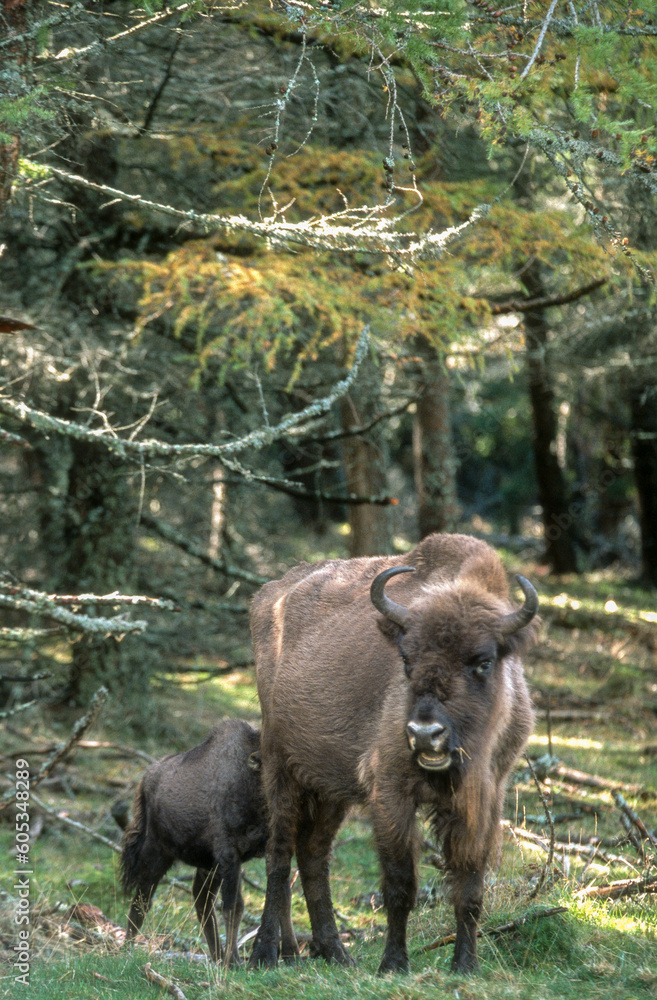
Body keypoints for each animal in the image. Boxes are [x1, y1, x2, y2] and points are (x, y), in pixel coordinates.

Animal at [248, 533, 538, 974]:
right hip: (281, 767)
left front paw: (465, 965)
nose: (425, 734)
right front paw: (393, 964)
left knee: (313, 856)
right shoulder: (391, 793)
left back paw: (331, 952)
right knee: (279, 855)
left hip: (331, 789)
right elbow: (400, 885)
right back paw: (265, 953)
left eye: (484, 661)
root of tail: (270, 595)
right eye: (406, 658)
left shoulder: (486, 796)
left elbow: (469, 886)